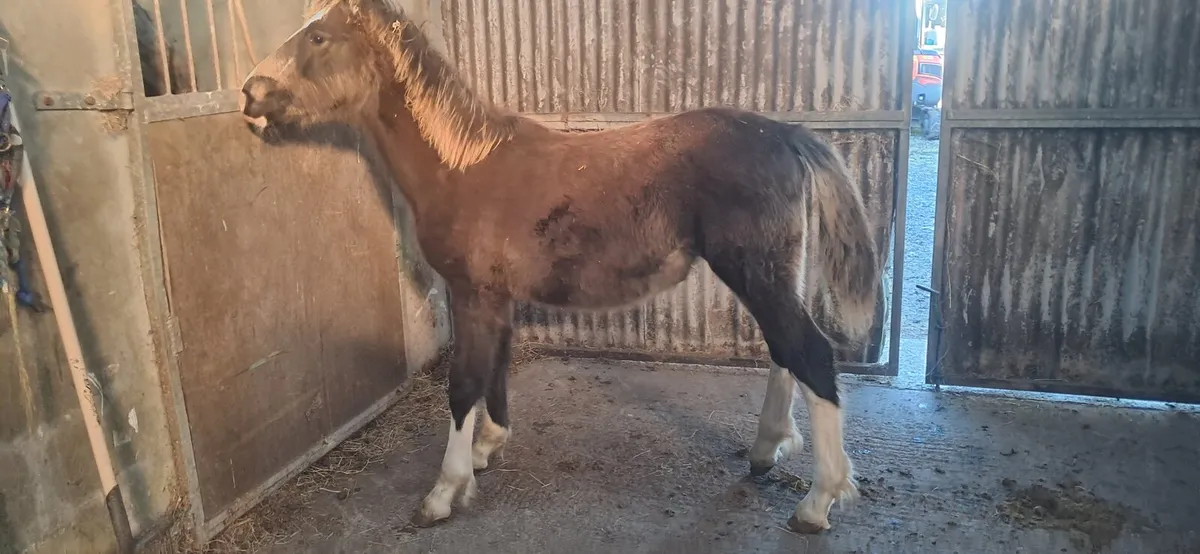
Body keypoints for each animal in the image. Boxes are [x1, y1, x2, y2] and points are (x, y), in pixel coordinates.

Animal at [237, 0, 881, 535]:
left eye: (318, 36)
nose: (249, 94)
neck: (461, 165)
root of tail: (786, 134)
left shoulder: (472, 294)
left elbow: (462, 384)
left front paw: (444, 492)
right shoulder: (494, 298)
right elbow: (494, 371)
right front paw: (487, 448)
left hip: (755, 272)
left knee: (809, 354)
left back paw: (818, 502)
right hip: (775, 274)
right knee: (784, 352)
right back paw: (767, 450)